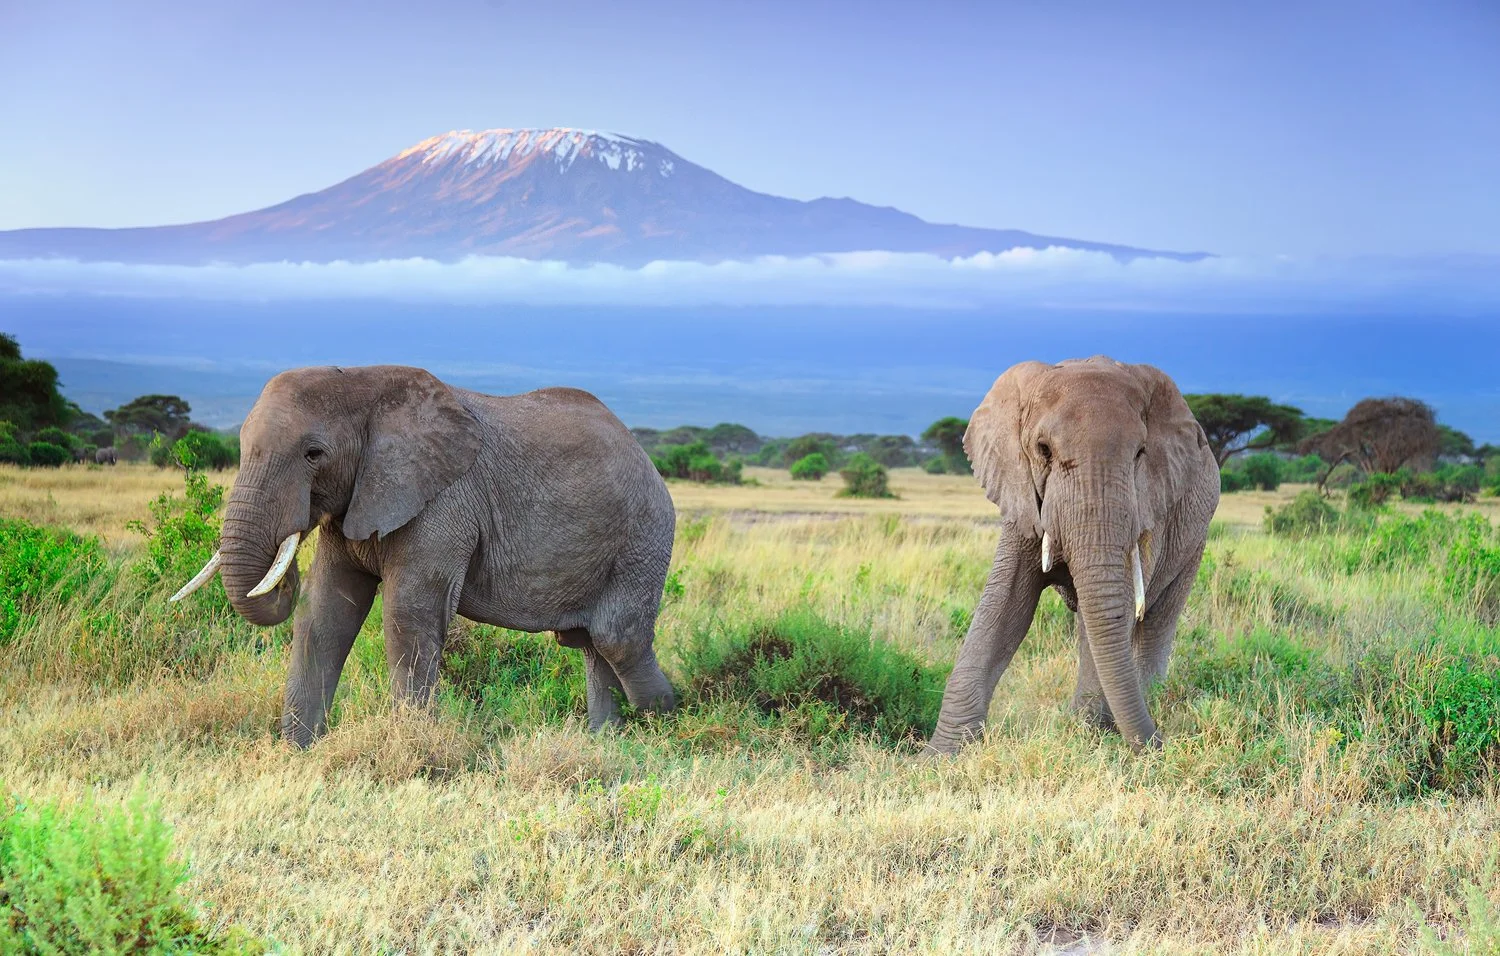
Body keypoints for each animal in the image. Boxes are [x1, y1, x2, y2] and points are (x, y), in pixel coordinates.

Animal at [167, 365, 678, 748]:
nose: (282, 560)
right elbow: (325, 611)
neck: (365, 384)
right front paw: (297, 751)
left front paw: (413, 748)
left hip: (643, 538)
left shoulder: (444, 501)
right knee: (590, 645)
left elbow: (406, 614)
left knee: (617, 639)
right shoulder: (357, 499)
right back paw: (606, 742)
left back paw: (667, 726)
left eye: (313, 454)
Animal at [925, 356, 1219, 755]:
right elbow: (1004, 606)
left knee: (1156, 620)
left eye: (1140, 454)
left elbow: (1116, 604)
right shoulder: (1022, 494)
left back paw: (1146, 701)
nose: (1161, 745)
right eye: (1043, 449)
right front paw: (939, 756)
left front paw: (1088, 740)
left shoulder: (1149, 502)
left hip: (1195, 534)